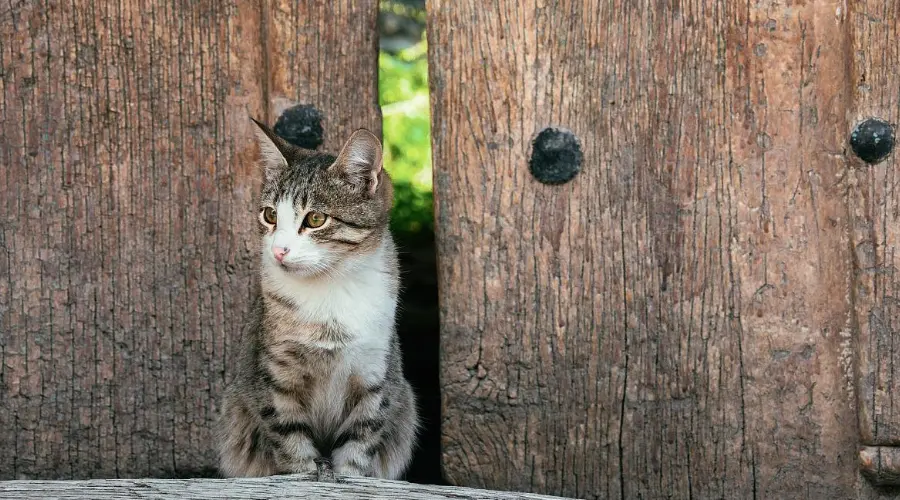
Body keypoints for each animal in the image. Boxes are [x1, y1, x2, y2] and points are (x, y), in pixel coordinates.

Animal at [214, 118, 418, 480]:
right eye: (270, 215)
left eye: (315, 219)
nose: (279, 250)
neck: (330, 288)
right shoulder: (275, 377)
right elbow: (291, 442)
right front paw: (308, 471)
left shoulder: (374, 373)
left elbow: (359, 444)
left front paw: (349, 475)